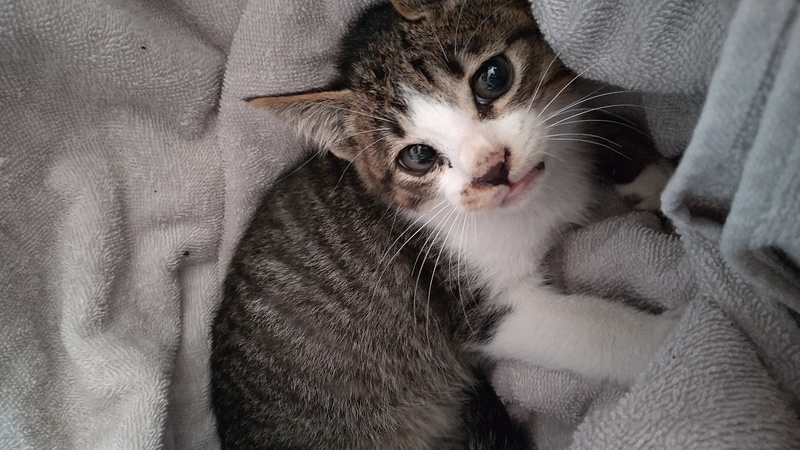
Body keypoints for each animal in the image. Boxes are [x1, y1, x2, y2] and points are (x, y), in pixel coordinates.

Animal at [211, 0, 680, 448]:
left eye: (494, 77)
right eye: (417, 156)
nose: (493, 168)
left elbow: (594, 120)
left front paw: (653, 174)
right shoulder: (484, 307)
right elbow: (586, 328)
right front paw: (669, 342)